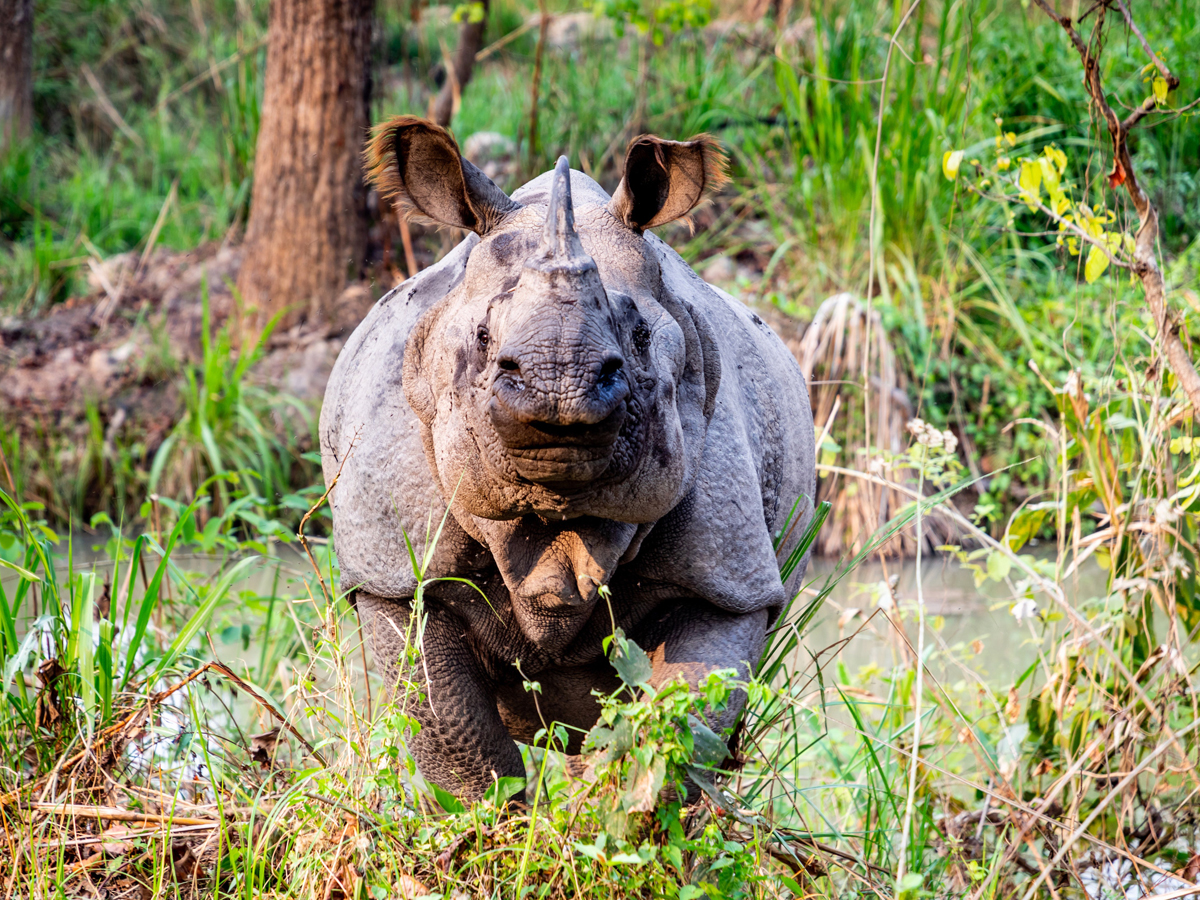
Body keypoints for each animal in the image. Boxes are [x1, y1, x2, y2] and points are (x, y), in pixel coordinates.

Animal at [320, 116, 816, 801]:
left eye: (639, 336)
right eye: (482, 338)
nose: (560, 385)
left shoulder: (727, 578)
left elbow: (680, 721)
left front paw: (611, 812)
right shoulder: (397, 569)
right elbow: (454, 733)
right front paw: (499, 822)